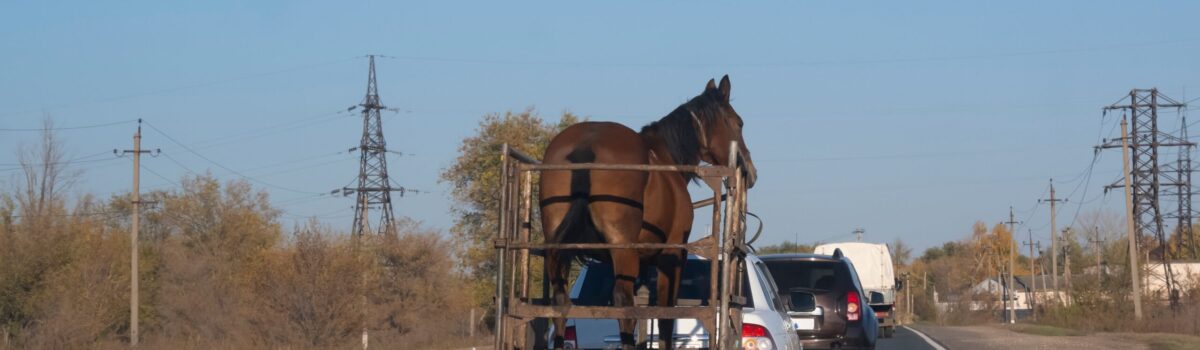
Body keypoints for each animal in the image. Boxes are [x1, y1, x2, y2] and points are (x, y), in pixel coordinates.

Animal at [544, 75, 758, 350]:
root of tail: (585, 145)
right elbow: (665, 316)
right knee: (623, 304)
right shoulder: (672, 255)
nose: (751, 171)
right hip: (621, 251)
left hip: (560, 251)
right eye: (738, 123)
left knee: (561, 304)